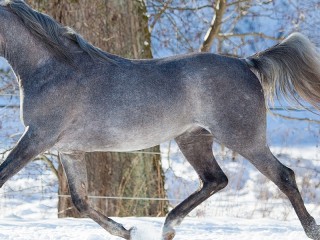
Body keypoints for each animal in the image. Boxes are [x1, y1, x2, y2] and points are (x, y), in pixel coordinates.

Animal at [0, 0, 320, 240]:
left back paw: (311, 230)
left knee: (284, 176)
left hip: (243, 138)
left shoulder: (37, 137)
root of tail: (247, 63)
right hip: (193, 139)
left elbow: (3, 176)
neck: (53, 69)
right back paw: (168, 227)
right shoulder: (69, 150)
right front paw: (127, 231)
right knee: (215, 180)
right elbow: (81, 202)